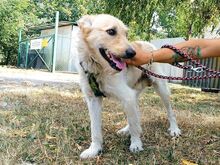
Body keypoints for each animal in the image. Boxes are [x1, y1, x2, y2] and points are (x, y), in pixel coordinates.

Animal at [75, 14, 181, 159]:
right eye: (111, 31)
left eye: (126, 34)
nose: (132, 53)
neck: (98, 69)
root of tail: (150, 45)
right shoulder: (93, 100)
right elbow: (95, 129)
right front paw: (94, 149)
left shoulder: (126, 96)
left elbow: (134, 124)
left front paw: (136, 144)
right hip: (134, 94)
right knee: (136, 114)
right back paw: (126, 129)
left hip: (161, 88)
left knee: (169, 111)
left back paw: (174, 129)